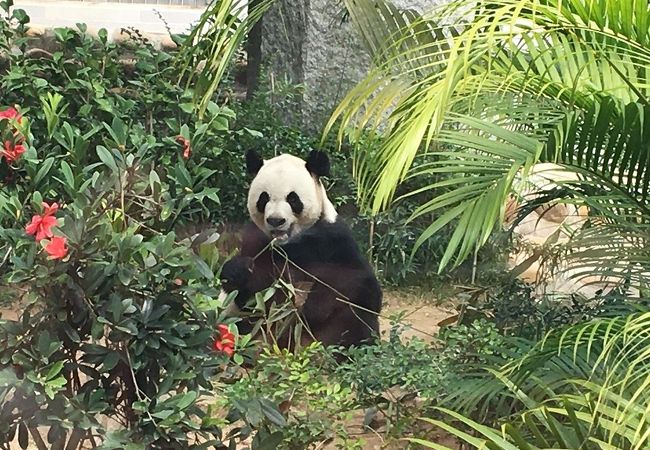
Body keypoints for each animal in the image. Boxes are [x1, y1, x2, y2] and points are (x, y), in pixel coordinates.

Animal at [219, 149, 380, 350]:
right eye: (264, 198)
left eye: (293, 198)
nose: (276, 220)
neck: (289, 244)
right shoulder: (255, 242)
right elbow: (249, 295)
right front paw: (238, 270)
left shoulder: (334, 241)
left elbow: (358, 280)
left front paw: (310, 306)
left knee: (356, 318)